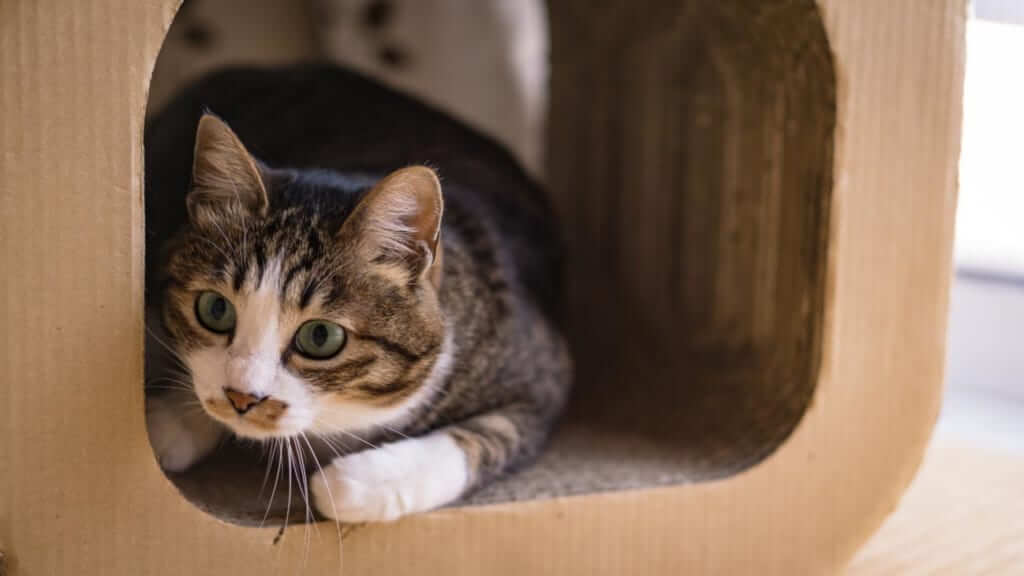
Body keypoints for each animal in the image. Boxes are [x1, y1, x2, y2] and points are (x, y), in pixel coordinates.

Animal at [144, 63, 573, 520]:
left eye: (320, 337)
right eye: (215, 309)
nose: (242, 398)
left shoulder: (544, 372)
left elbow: (487, 434)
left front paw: (358, 482)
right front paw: (172, 418)